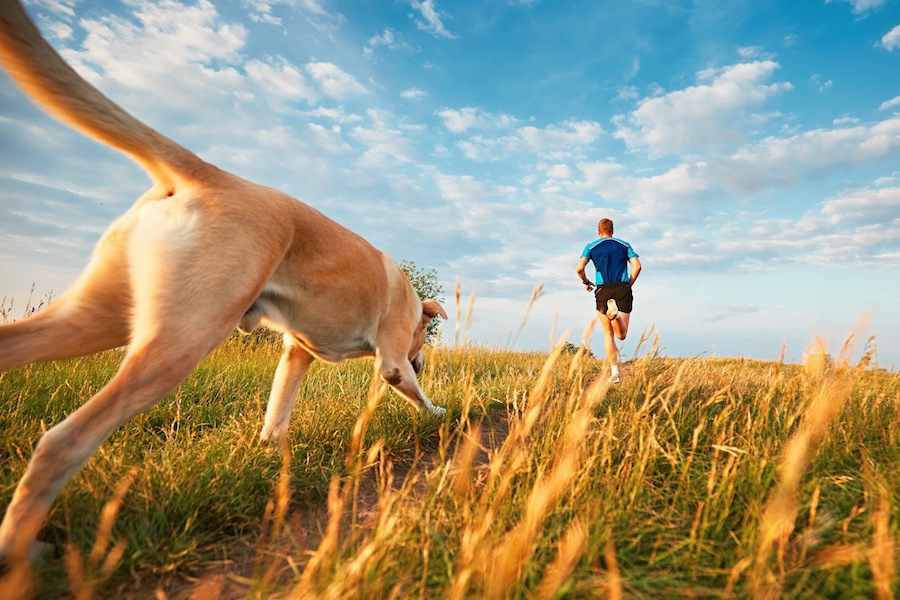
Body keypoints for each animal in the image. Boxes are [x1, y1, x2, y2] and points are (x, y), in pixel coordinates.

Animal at [0, 0, 448, 564]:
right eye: (421, 340)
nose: (423, 360)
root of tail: (208, 173)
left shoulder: (296, 354)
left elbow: (277, 412)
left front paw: (272, 454)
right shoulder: (390, 361)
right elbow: (416, 394)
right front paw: (440, 411)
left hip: (95, 318)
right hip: (181, 340)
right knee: (64, 441)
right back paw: (20, 548)